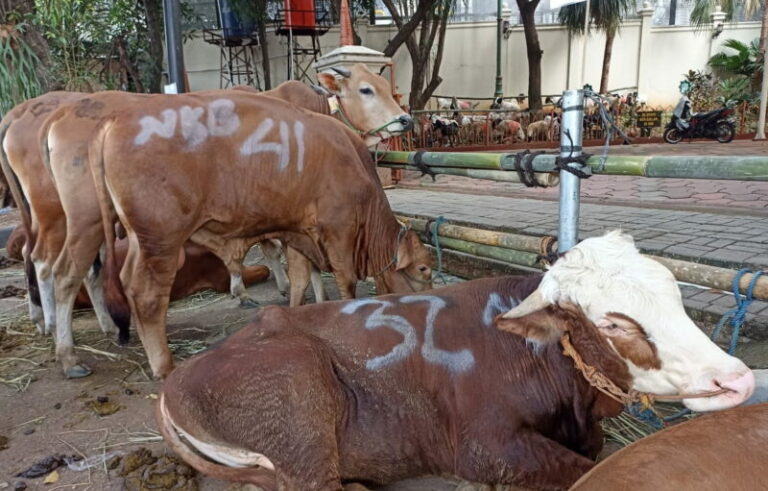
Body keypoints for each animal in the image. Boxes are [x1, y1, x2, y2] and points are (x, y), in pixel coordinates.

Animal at [81, 90, 432, 378]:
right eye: (424, 269)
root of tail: (115, 121)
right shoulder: (339, 231)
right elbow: (346, 283)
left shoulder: (300, 234)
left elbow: (301, 280)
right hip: (160, 241)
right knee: (146, 294)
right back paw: (164, 365)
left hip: (137, 240)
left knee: (124, 282)